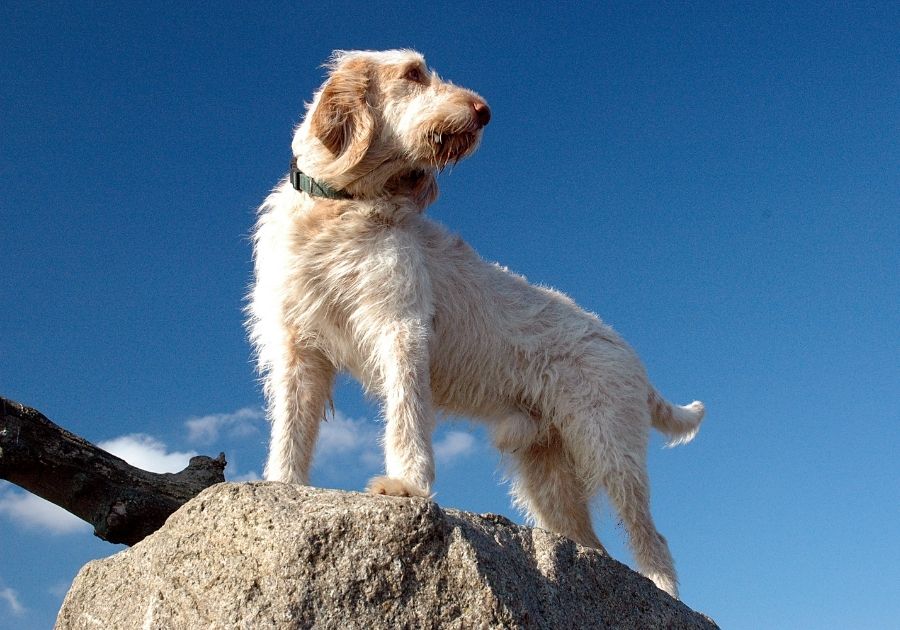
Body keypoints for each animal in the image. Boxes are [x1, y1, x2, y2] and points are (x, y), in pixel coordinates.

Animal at [246, 49, 704, 596]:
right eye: (413, 73)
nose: (484, 111)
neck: (342, 205)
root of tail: (629, 353)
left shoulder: (400, 327)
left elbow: (406, 413)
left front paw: (406, 486)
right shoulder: (300, 347)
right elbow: (291, 428)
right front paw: (281, 484)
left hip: (610, 450)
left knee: (651, 537)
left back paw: (663, 592)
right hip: (547, 472)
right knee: (590, 541)